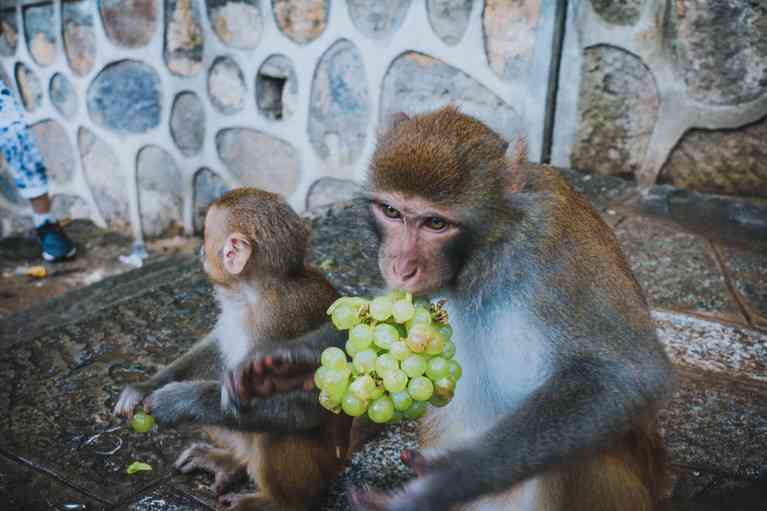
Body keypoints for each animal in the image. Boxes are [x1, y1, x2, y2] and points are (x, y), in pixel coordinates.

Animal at [112, 189, 352, 511]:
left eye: (205, 236)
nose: (200, 252)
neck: (252, 293)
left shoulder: (276, 323)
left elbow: (304, 406)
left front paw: (177, 401)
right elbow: (215, 343)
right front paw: (145, 387)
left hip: (319, 470)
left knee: (273, 430)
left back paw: (276, 502)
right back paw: (232, 462)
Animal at [228, 108, 672, 511]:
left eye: (435, 224)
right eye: (392, 212)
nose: (401, 267)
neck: (487, 251)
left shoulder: (555, 245)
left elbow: (625, 376)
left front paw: (438, 485)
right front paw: (284, 362)